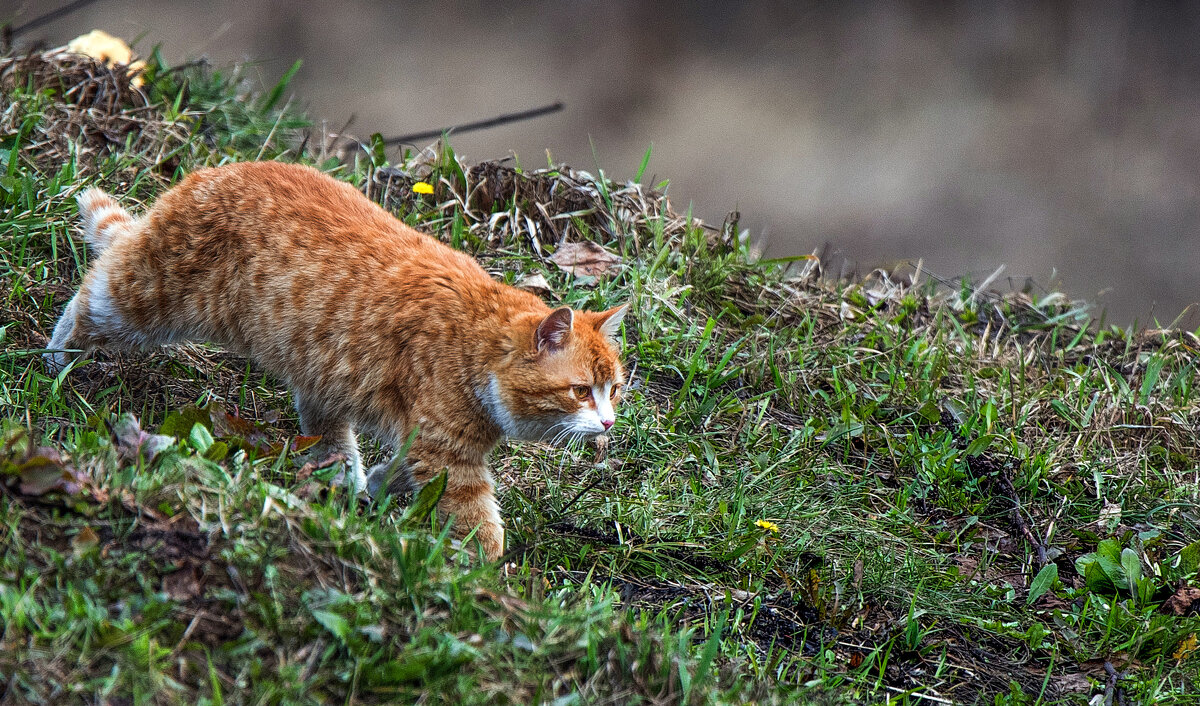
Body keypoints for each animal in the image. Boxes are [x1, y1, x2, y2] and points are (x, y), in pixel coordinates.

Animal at [46, 160, 628, 561]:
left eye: (614, 390)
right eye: (580, 391)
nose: (608, 424)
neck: (476, 341)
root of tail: (211, 173)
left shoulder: (424, 439)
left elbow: (399, 472)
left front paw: (375, 487)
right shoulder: (449, 454)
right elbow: (477, 520)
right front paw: (487, 575)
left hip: (321, 371)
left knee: (325, 435)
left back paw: (342, 484)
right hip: (150, 296)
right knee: (93, 292)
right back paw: (55, 358)